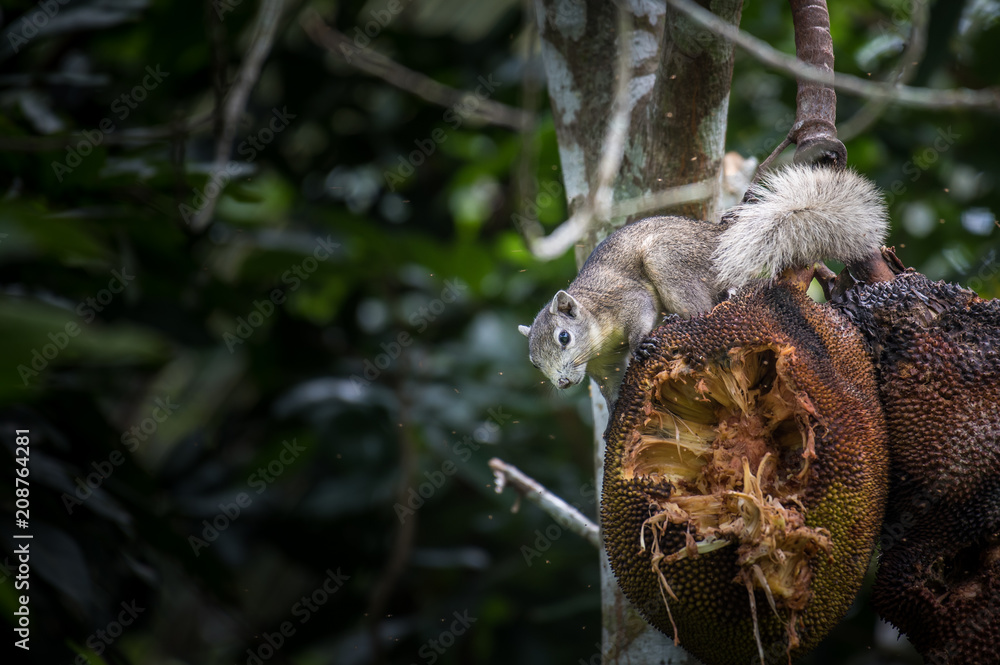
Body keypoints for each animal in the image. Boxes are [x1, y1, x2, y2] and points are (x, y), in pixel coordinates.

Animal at [518, 164, 889, 404]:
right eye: (534, 363)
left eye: (563, 338)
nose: (562, 382)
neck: (595, 329)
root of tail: (720, 242)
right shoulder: (603, 366)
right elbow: (610, 390)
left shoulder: (622, 299)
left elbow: (639, 311)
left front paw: (641, 345)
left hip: (668, 260)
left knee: (702, 306)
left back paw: (680, 317)